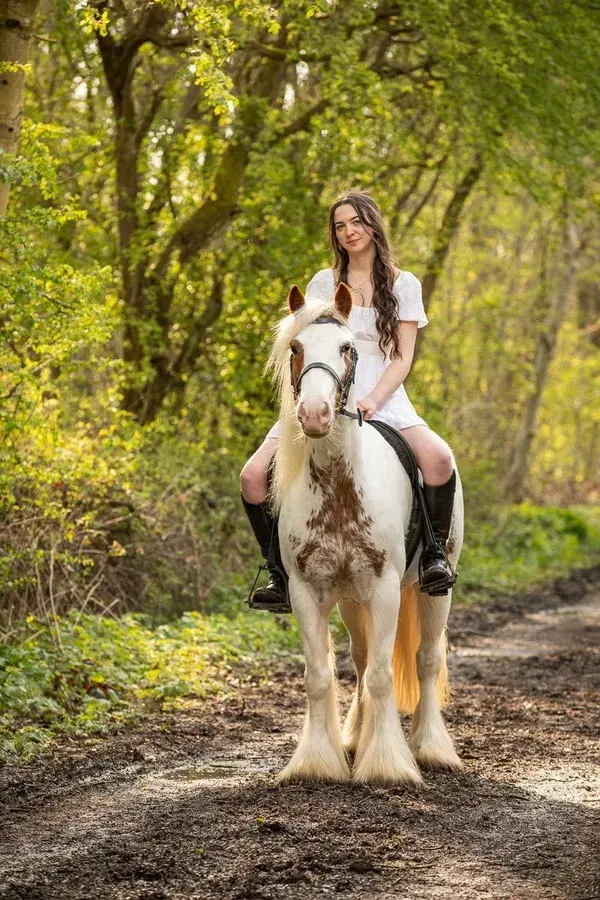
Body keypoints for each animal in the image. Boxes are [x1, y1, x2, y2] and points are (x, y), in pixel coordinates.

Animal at [268, 282, 464, 780]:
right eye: (296, 348)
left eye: (347, 347)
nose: (314, 415)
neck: (338, 485)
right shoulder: (305, 590)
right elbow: (320, 676)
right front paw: (317, 762)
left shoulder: (386, 588)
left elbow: (382, 674)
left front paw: (388, 764)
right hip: (351, 600)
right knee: (359, 659)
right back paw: (357, 737)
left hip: (435, 589)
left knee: (425, 660)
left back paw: (431, 748)